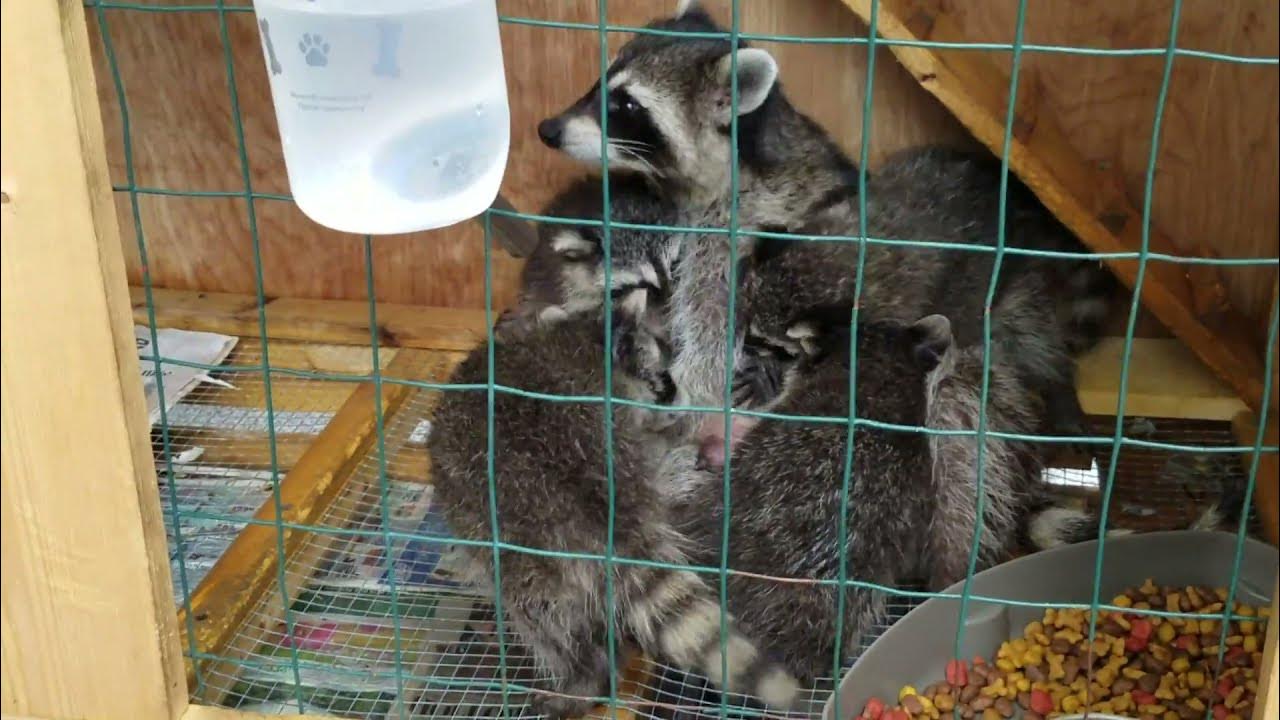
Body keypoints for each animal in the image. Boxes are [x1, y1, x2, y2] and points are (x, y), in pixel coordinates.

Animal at [428, 302, 801, 719]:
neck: (583, 342)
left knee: (543, 619)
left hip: (519, 546)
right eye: (664, 383)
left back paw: (583, 674)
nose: (679, 407)